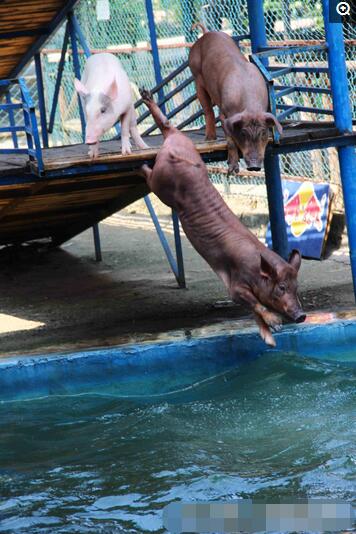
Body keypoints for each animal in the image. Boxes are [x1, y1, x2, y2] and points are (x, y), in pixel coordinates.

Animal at [139, 89, 306, 348]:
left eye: (296, 287)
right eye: (281, 287)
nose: (301, 315)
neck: (257, 269)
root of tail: (175, 140)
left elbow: (254, 312)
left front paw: (269, 340)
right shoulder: (236, 286)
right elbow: (254, 304)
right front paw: (276, 325)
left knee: (166, 126)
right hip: (161, 183)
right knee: (150, 172)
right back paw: (141, 164)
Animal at [188, 23, 282, 173]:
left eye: (263, 133)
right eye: (243, 133)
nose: (254, 167)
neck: (250, 106)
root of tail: (206, 33)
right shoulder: (224, 114)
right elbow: (230, 140)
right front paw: (233, 170)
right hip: (196, 76)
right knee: (207, 110)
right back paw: (209, 139)